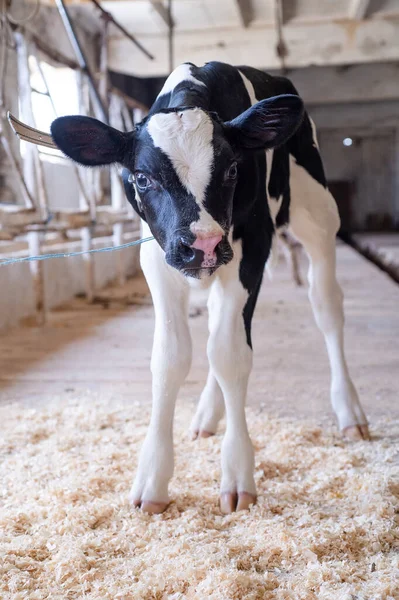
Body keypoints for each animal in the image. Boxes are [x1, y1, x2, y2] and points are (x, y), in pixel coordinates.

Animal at [51, 61, 370, 512]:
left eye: (233, 169)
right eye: (142, 178)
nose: (201, 244)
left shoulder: (251, 246)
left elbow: (230, 355)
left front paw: (237, 474)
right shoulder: (158, 257)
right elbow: (172, 357)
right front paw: (153, 478)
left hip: (318, 214)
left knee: (326, 307)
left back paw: (350, 412)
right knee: (220, 323)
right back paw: (206, 413)